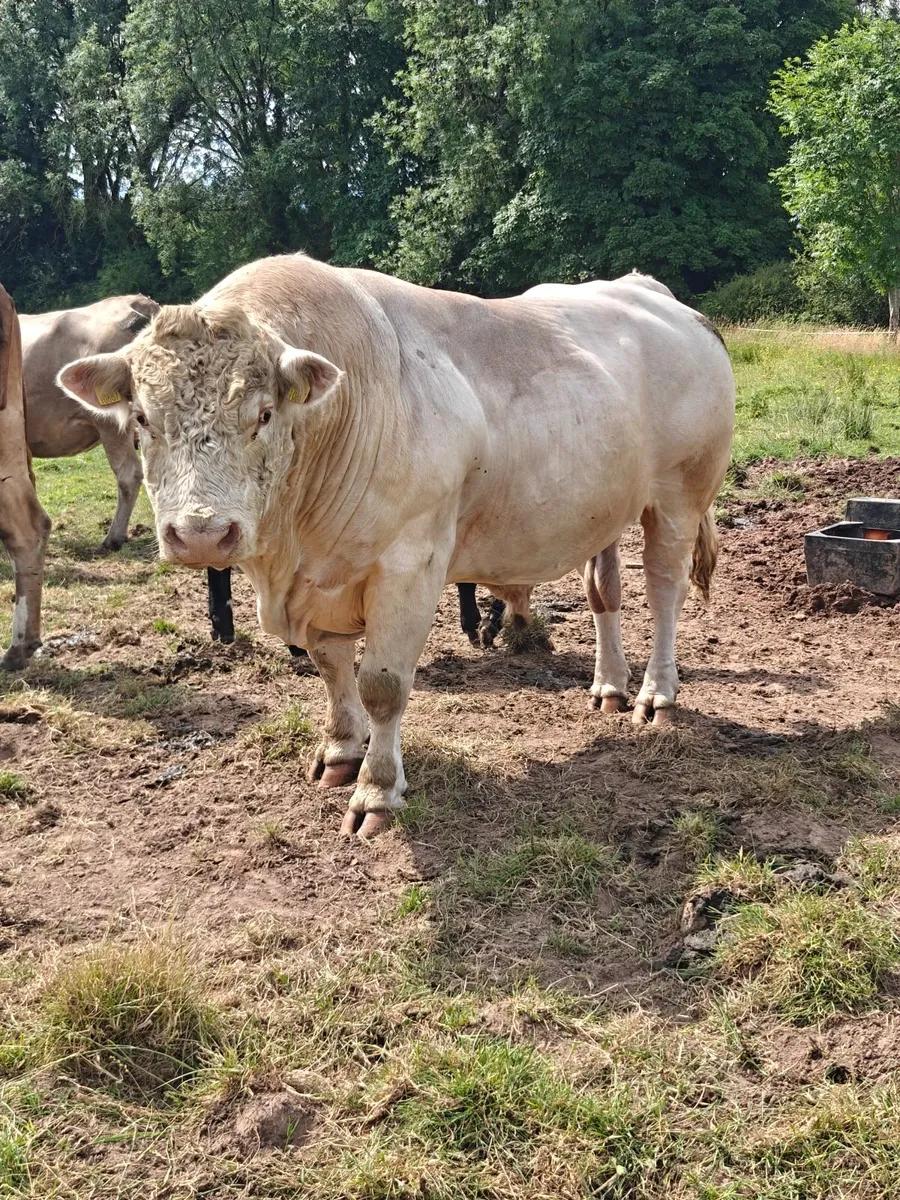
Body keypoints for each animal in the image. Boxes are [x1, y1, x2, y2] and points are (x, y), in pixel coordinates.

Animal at [58, 254, 735, 838]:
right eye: (142, 418)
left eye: (264, 414)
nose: (200, 533)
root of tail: (655, 293)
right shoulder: (320, 583)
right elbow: (332, 669)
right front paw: (339, 751)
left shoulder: (410, 563)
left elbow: (381, 684)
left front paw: (377, 790)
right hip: (608, 506)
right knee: (605, 594)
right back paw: (609, 686)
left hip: (678, 497)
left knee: (665, 591)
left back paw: (656, 695)